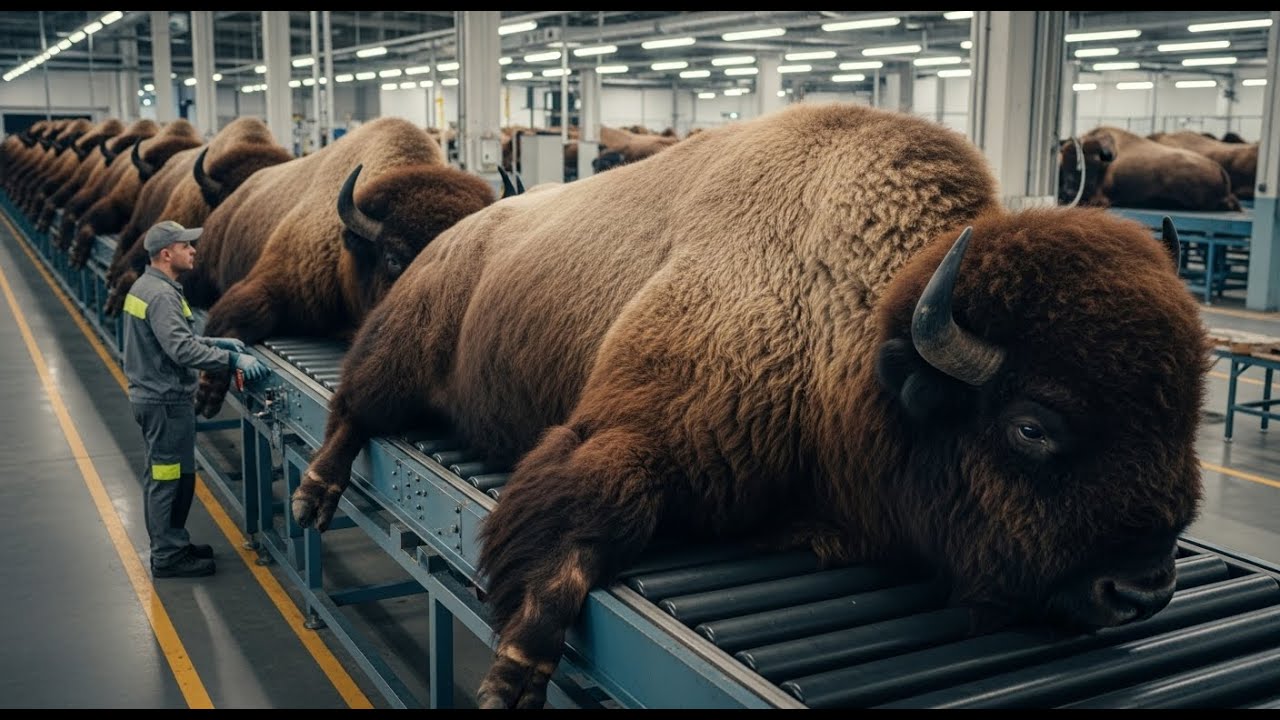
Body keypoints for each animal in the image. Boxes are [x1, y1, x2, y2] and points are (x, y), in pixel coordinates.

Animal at [289, 102, 1208, 708]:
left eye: (1188, 414)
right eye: (1031, 426)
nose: (1144, 590)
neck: (849, 313)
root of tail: (460, 232)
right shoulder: (629, 437)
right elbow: (571, 539)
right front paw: (511, 680)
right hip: (403, 352)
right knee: (354, 412)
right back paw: (310, 499)